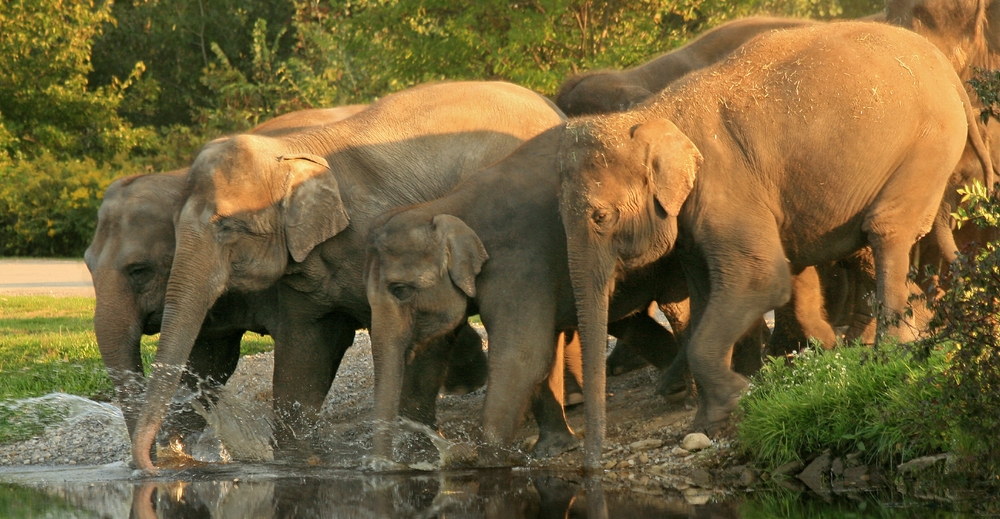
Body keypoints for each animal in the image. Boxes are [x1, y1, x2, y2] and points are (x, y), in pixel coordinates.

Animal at [131, 80, 572, 472]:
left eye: (226, 227)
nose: (154, 466)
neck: (296, 150)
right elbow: (306, 351)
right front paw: (298, 462)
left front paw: (411, 457)